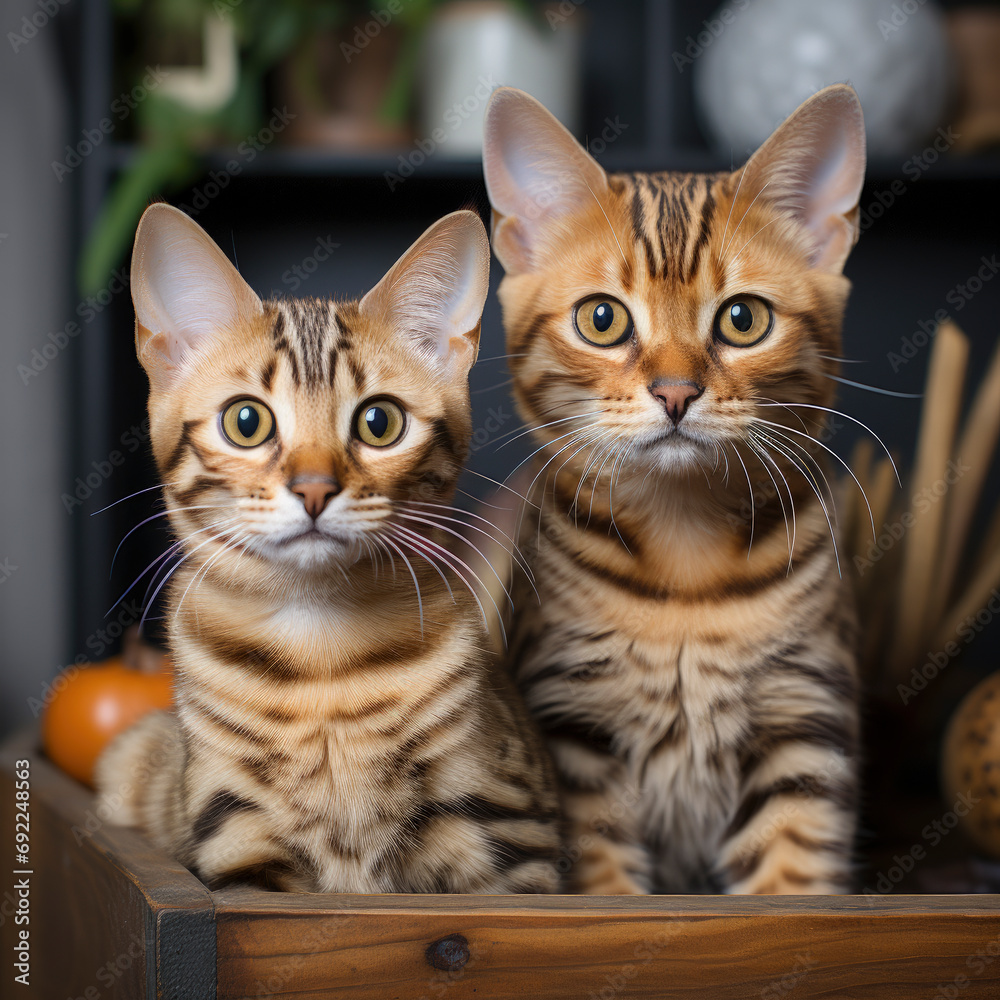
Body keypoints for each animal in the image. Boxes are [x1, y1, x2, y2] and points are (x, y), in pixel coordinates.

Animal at [95, 203, 564, 892]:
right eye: (246, 421)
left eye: (379, 422)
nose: (314, 488)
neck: (321, 664)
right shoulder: (239, 842)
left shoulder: (513, 837)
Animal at [484, 86, 868, 896]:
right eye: (602, 319)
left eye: (744, 319)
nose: (675, 391)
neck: (684, 555)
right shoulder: (572, 729)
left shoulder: (803, 720)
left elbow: (792, 882)